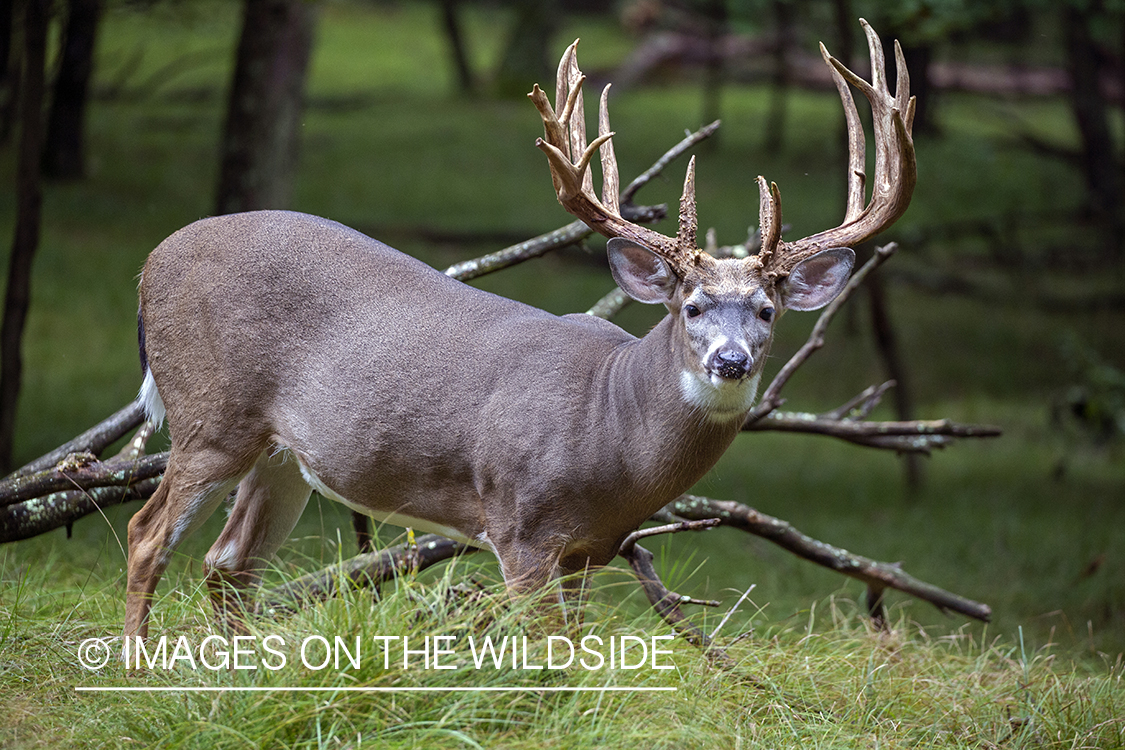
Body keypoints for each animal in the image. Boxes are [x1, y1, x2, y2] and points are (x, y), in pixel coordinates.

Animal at [123, 20, 913, 638]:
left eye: (766, 311)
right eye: (689, 307)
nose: (730, 361)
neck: (612, 431)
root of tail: (150, 263)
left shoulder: (588, 549)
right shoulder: (519, 524)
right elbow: (541, 653)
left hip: (284, 454)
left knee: (229, 563)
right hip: (210, 412)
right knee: (146, 535)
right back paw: (136, 669)